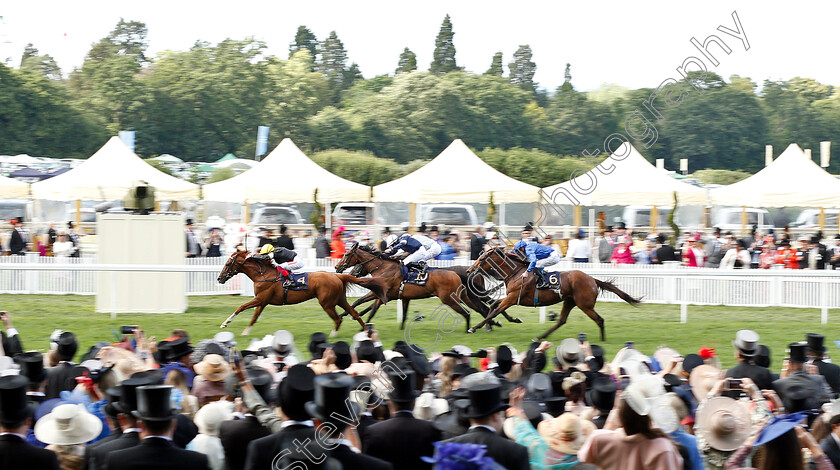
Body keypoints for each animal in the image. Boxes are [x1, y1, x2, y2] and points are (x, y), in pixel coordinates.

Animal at [217, 252, 388, 336]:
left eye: (228, 264)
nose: (219, 278)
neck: (263, 275)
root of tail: (338, 276)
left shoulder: (260, 299)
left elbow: (241, 307)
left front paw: (225, 323)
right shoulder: (262, 301)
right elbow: (254, 317)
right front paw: (245, 332)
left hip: (326, 303)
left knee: (338, 319)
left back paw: (332, 336)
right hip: (340, 299)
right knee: (354, 313)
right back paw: (366, 332)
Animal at [334, 244, 506, 332]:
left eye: (347, 254)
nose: (337, 267)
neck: (384, 266)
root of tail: (457, 273)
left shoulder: (380, 293)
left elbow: (361, 303)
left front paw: (351, 317)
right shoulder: (394, 296)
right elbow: (375, 309)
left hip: (450, 299)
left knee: (472, 311)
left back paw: (476, 327)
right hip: (465, 296)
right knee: (482, 309)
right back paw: (489, 324)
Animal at [466, 246, 644, 342]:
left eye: (482, 259)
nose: (469, 270)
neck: (516, 273)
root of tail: (592, 279)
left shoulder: (512, 298)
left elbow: (496, 310)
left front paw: (474, 328)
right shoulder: (511, 297)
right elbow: (494, 306)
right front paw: (493, 324)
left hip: (584, 305)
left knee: (599, 320)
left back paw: (602, 341)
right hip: (570, 301)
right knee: (561, 320)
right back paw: (539, 338)